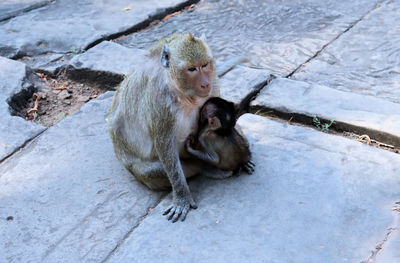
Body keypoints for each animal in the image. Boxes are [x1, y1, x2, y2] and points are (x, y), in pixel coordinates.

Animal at [108, 32, 225, 223]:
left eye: (205, 64)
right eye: (191, 69)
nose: (205, 83)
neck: (183, 92)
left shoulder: (214, 86)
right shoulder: (160, 102)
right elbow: (164, 145)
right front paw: (182, 198)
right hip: (138, 171)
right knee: (153, 171)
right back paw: (204, 168)